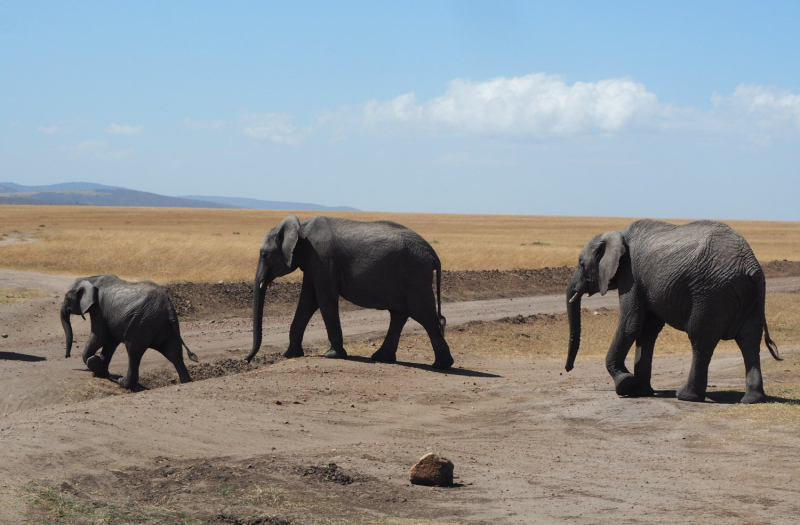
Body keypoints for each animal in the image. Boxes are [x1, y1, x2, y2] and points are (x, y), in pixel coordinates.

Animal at [59, 274, 197, 388]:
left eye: (66, 297)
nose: (67, 356)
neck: (89, 279)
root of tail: (169, 307)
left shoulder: (98, 309)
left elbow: (100, 337)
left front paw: (94, 363)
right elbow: (110, 342)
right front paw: (100, 373)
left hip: (141, 323)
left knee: (134, 352)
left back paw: (123, 383)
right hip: (165, 326)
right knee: (174, 353)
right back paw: (186, 382)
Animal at [247, 213, 454, 368]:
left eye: (264, 255)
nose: (247, 360)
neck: (301, 227)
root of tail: (433, 255)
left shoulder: (322, 258)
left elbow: (324, 298)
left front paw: (332, 355)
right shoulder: (313, 262)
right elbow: (308, 301)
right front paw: (289, 354)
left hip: (414, 276)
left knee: (425, 315)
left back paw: (442, 365)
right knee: (399, 315)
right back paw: (381, 358)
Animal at [564, 219, 780, 404]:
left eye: (581, 264)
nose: (568, 368)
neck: (618, 233)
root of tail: (752, 266)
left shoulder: (630, 274)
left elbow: (630, 324)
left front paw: (625, 384)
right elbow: (647, 330)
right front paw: (640, 392)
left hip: (711, 293)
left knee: (701, 339)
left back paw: (686, 396)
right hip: (749, 296)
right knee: (749, 340)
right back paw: (752, 399)